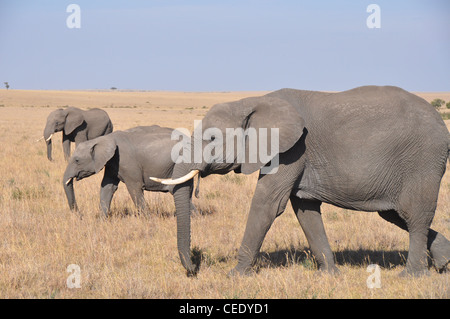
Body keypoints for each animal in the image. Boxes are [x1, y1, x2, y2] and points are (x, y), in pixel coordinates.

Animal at [62, 126, 196, 219]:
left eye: (77, 160)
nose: (79, 215)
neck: (105, 139)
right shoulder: (112, 163)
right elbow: (107, 187)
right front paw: (101, 220)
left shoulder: (127, 162)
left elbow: (134, 188)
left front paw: (148, 220)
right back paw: (195, 217)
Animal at [150, 85, 450, 278]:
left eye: (211, 139)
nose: (194, 269)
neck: (252, 101)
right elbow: (305, 210)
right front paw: (329, 276)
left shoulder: (292, 150)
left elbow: (268, 204)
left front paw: (234, 275)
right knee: (396, 214)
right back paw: (444, 262)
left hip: (423, 160)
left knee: (415, 215)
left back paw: (411, 276)